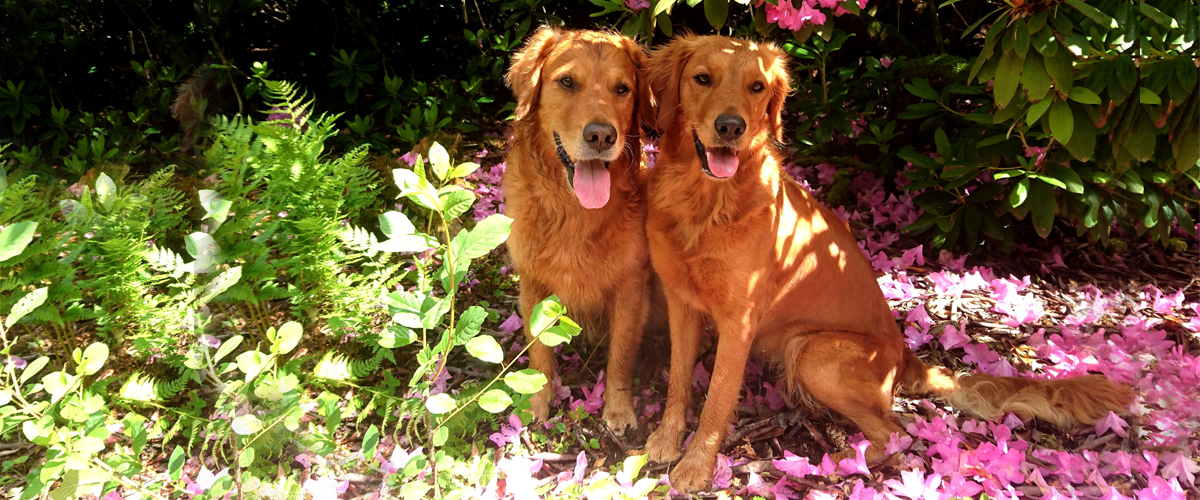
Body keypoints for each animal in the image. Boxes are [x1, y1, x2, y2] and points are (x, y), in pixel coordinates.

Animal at [501, 26, 657, 431]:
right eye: (567, 82)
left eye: (623, 88)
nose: (601, 136)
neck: (575, 212)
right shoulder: (533, 284)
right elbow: (539, 353)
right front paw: (536, 403)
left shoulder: (631, 288)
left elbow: (621, 355)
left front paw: (618, 408)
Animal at [638, 35, 1132, 491]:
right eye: (702, 78)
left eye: (756, 86)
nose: (730, 127)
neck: (704, 203)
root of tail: (905, 355)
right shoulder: (681, 301)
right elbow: (678, 379)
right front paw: (665, 439)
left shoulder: (739, 322)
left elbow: (718, 396)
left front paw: (695, 466)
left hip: (813, 352)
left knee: (897, 434)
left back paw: (834, 463)